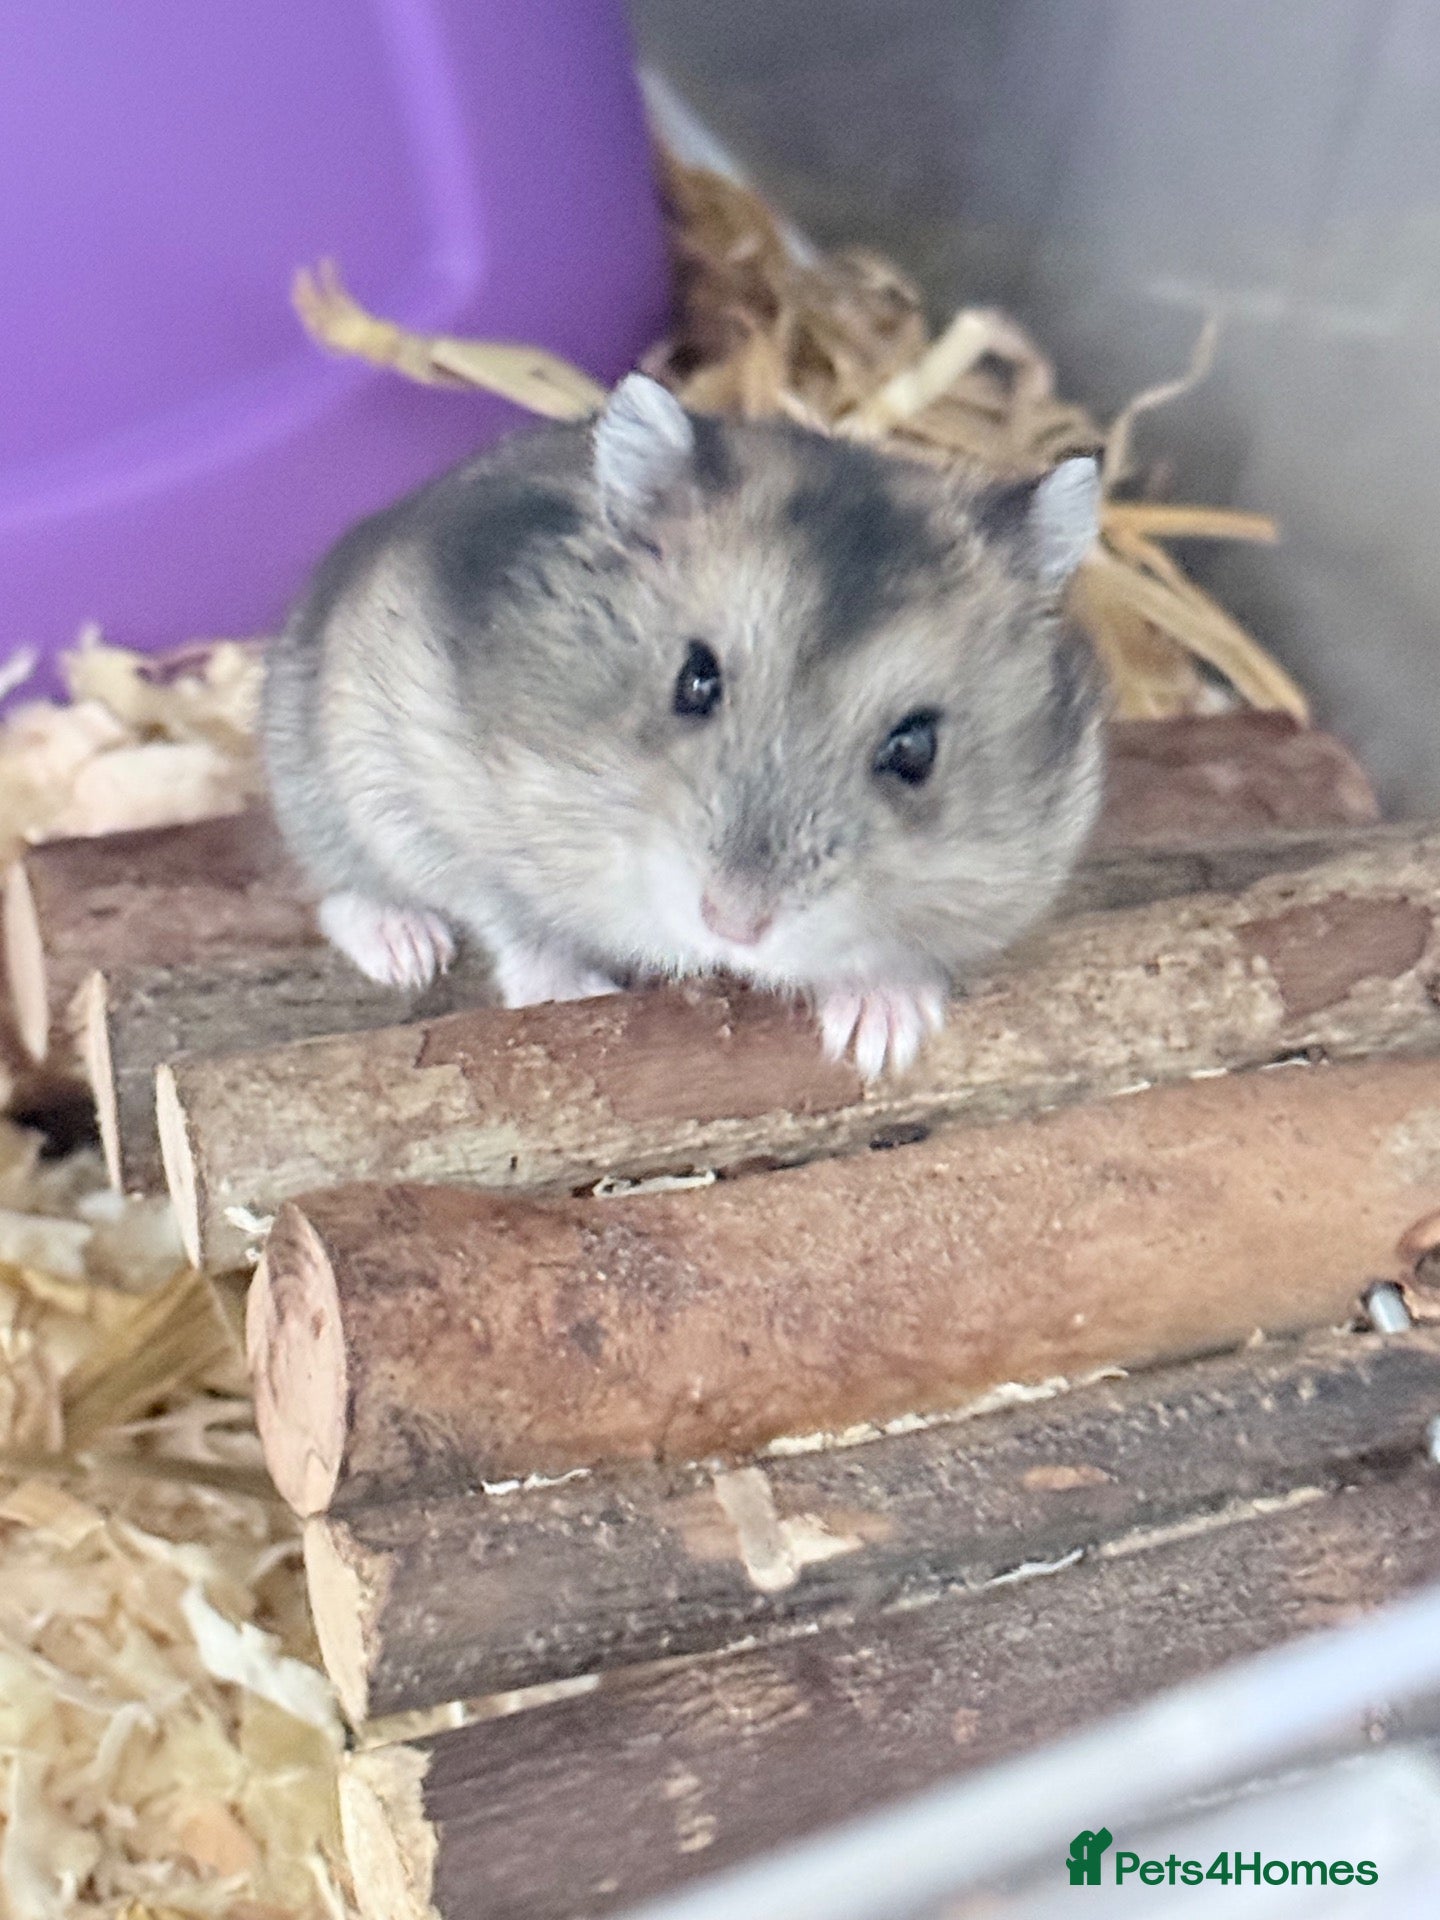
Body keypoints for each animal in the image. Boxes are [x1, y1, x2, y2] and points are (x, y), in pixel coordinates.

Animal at [262, 374, 1105, 1078]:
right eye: (695, 680)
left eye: (916, 747)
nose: (732, 924)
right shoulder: (436, 777)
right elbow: (513, 916)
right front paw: (574, 994)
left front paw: (879, 1035)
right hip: (313, 764)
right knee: (342, 886)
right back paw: (406, 949)